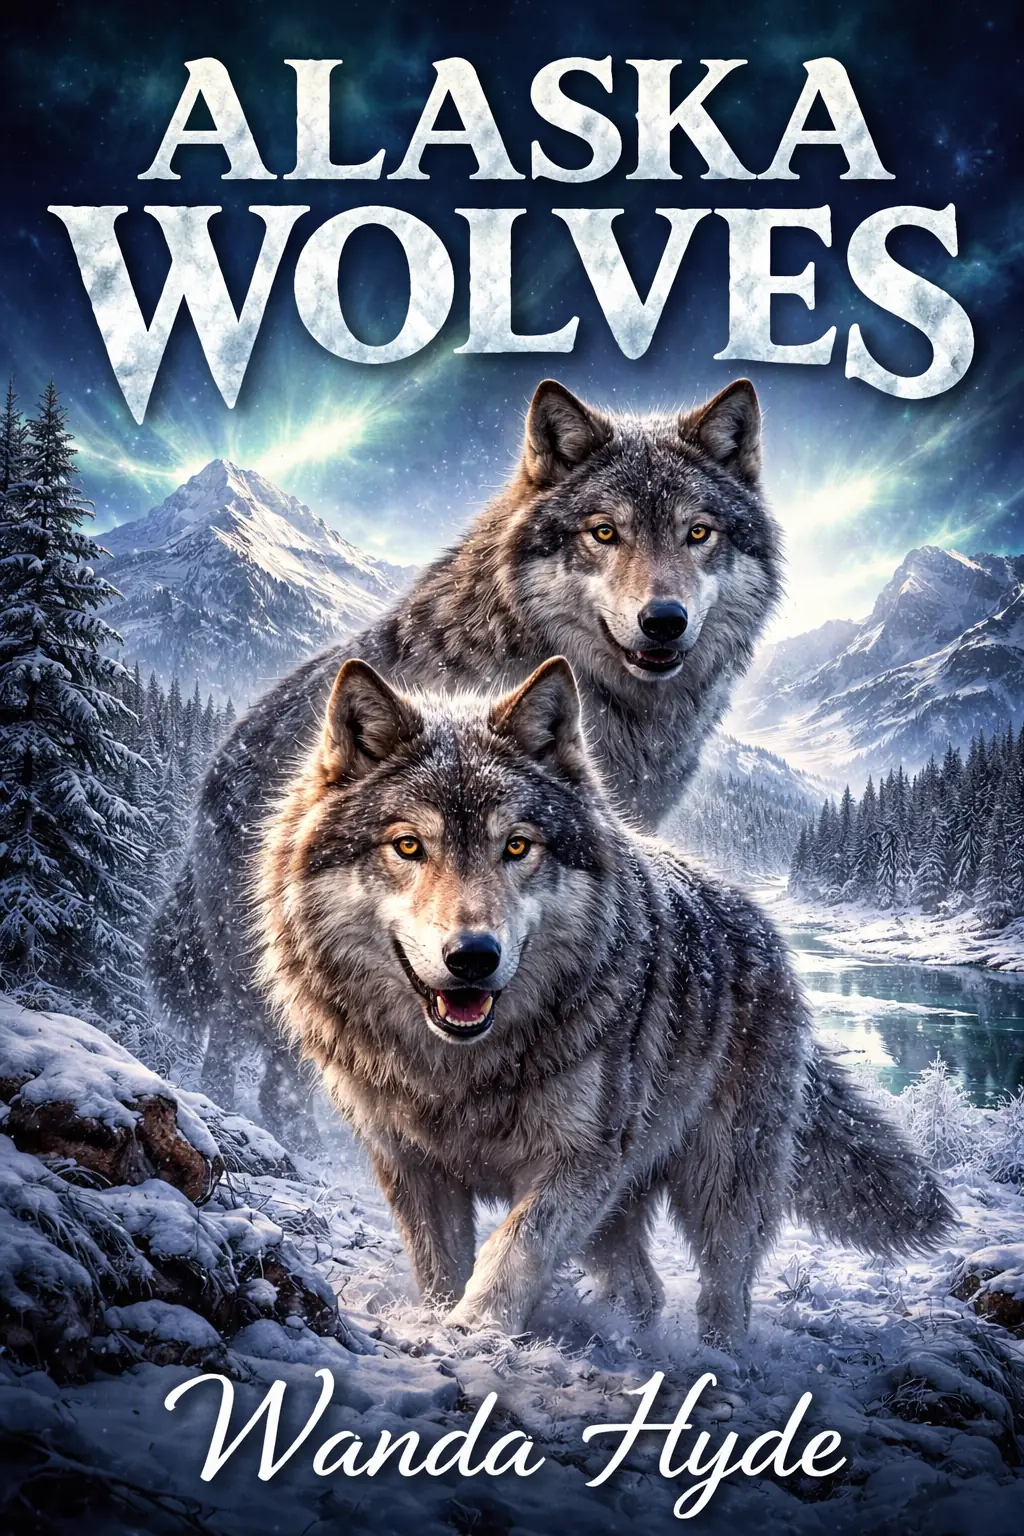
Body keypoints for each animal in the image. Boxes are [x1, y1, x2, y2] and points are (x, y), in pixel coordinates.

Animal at [255, 657, 955, 1341]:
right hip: (619, 1204)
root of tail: (760, 921)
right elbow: (440, 1269)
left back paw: (718, 1357)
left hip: (716, 1182)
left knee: (726, 1292)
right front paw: (439, 1324)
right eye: (408, 845)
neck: (460, 1072)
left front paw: (475, 1332)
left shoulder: (581, 1160)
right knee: (643, 1288)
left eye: (516, 845)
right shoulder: (412, 1167)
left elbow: (514, 1250)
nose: (473, 957)